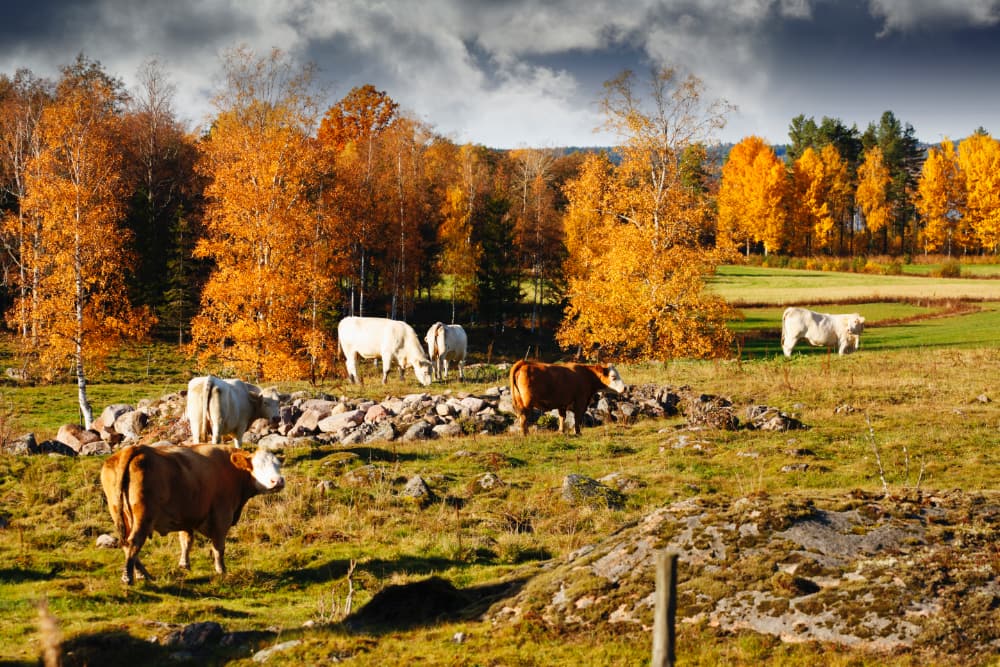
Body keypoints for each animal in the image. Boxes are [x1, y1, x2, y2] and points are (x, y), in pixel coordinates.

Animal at [100, 446, 286, 588]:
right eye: (258, 466)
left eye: (278, 465)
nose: (278, 481)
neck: (232, 470)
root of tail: (135, 449)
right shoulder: (222, 516)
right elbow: (218, 547)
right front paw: (221, 570)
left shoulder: (186, 517)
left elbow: (186, 542)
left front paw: (184, 565)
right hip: (143, 516)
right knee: (134, 543)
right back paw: (128, 577)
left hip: (121, 514)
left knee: (127, 545)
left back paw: (143, 574)